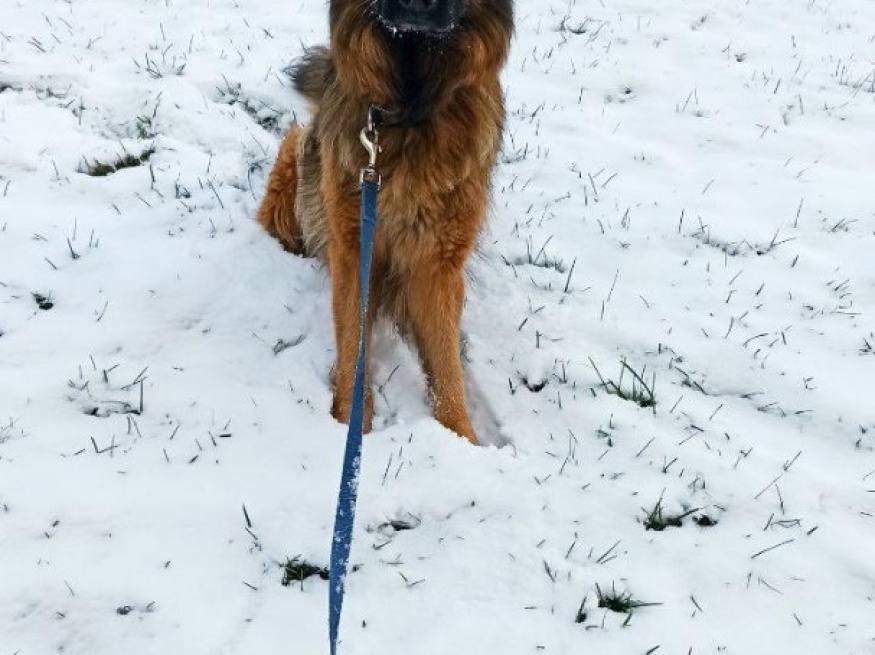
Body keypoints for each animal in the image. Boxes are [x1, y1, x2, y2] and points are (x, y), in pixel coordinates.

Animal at [256, 0, 512, 446]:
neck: (409, 109)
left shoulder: (438, 263)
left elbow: (446, 365)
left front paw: (460, 438)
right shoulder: (354, 248)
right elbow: (353, 343)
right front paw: (350, 424)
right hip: (296, 163)